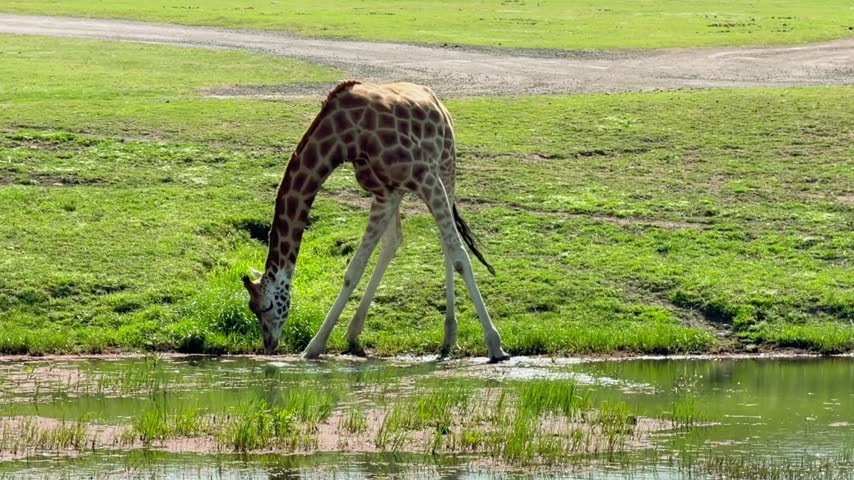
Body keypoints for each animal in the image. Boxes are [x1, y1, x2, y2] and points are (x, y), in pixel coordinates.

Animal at [242, 80, 510, 363]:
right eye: (251, 308)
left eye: (266, 305)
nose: (269, 343)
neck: (345, 136)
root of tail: (432, 97)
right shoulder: (384, 191)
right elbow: (355, 269)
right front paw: (317, 345)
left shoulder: (424, 176)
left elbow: (459, 256)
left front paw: (496, 345)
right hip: (402, 189)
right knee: (399, 240)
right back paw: (438, 336)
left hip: (446, 167)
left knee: (447, 243)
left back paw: (452, 335)